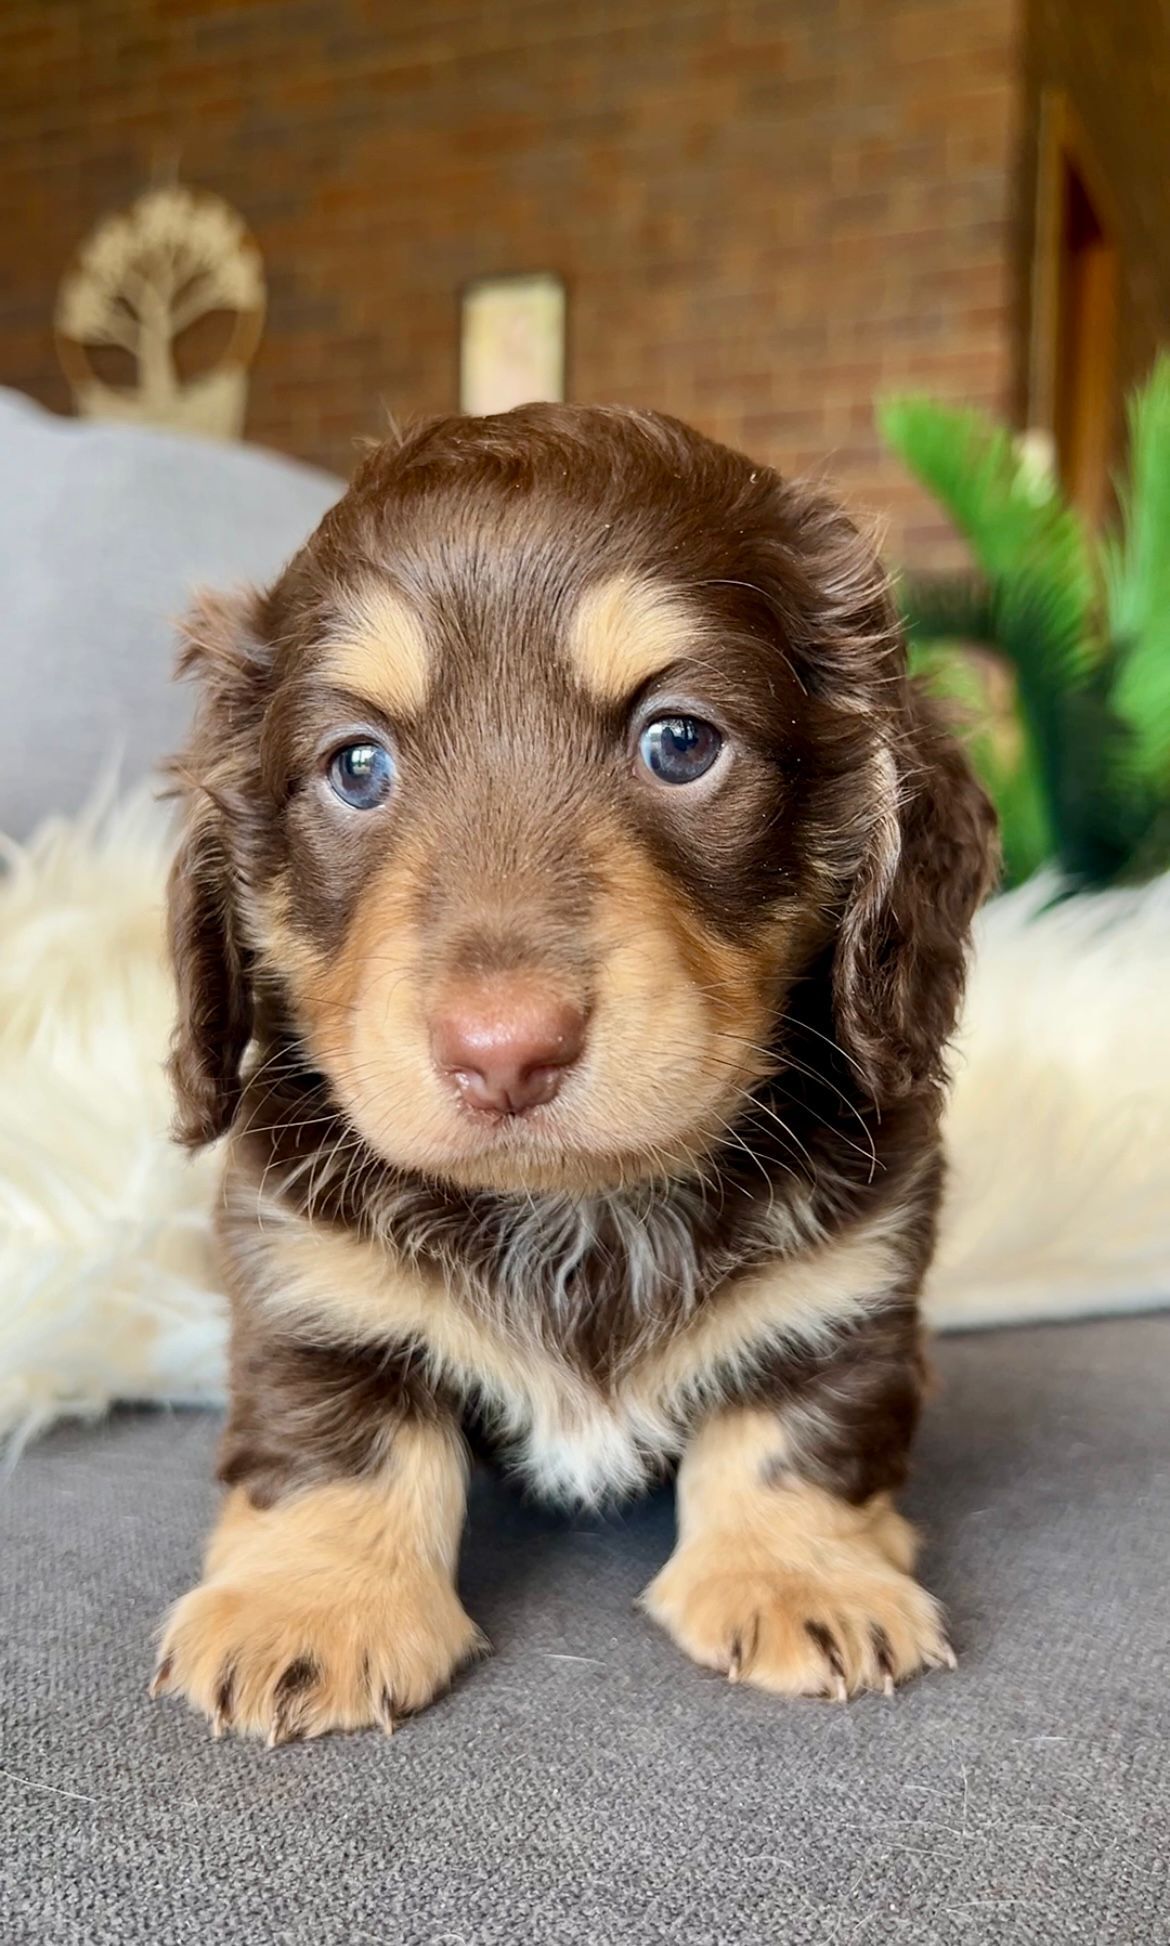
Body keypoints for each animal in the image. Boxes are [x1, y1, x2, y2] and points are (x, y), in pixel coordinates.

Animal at [152, 404, 997, 1742]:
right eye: (355, 766)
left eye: (681, 742)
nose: (505, 1049)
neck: (577, 1211)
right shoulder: (300, 1269)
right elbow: (336, 1428)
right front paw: (310, 1604)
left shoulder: (854, 1276)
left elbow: (800, 1416)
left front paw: (803, 1575)